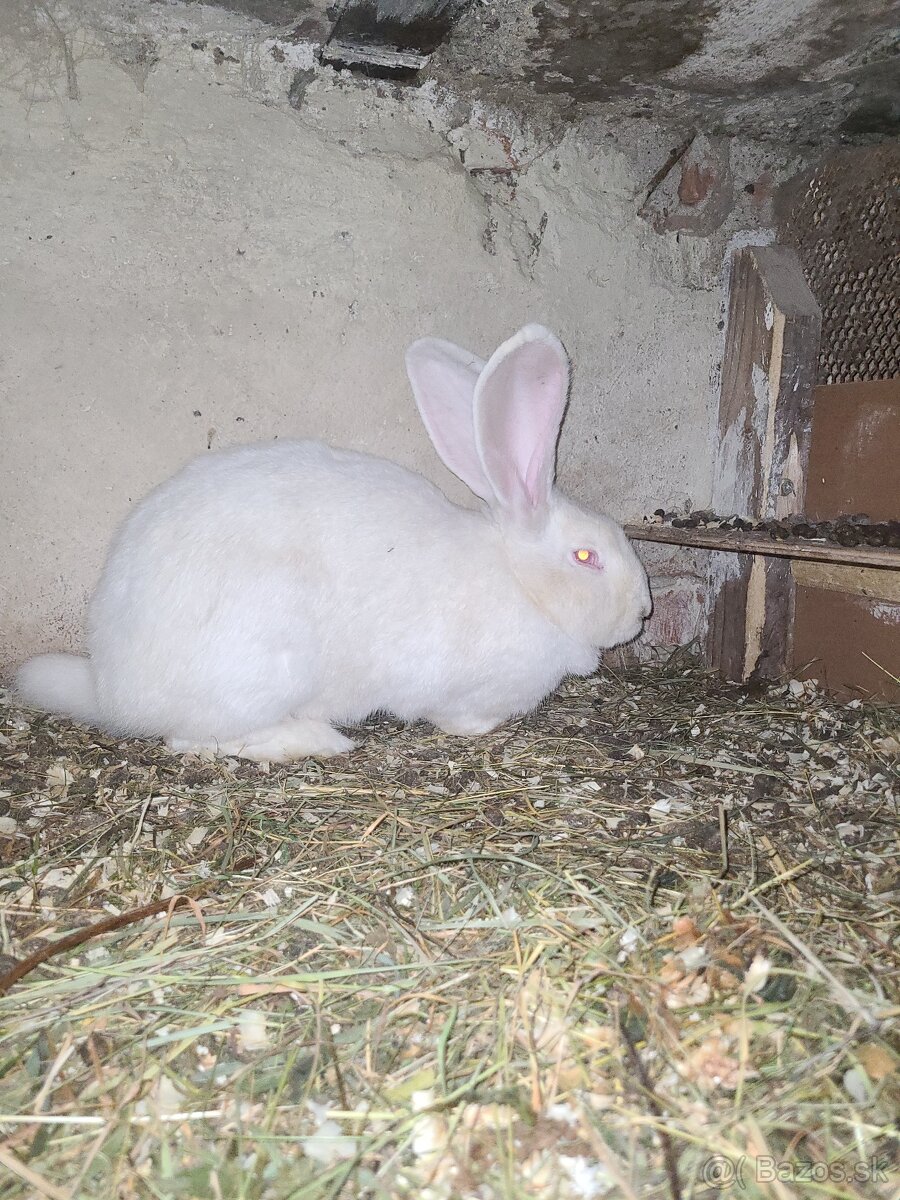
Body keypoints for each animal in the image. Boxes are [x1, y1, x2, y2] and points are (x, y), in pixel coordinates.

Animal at [15, 324, 651, 762]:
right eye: (587, 557)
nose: (644, 612)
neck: (523, 584)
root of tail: (111, 687)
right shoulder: (458, 687)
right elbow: (458, 716)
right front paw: (483, 728)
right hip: (260, 663)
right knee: (192, 737)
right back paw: (314, 739)